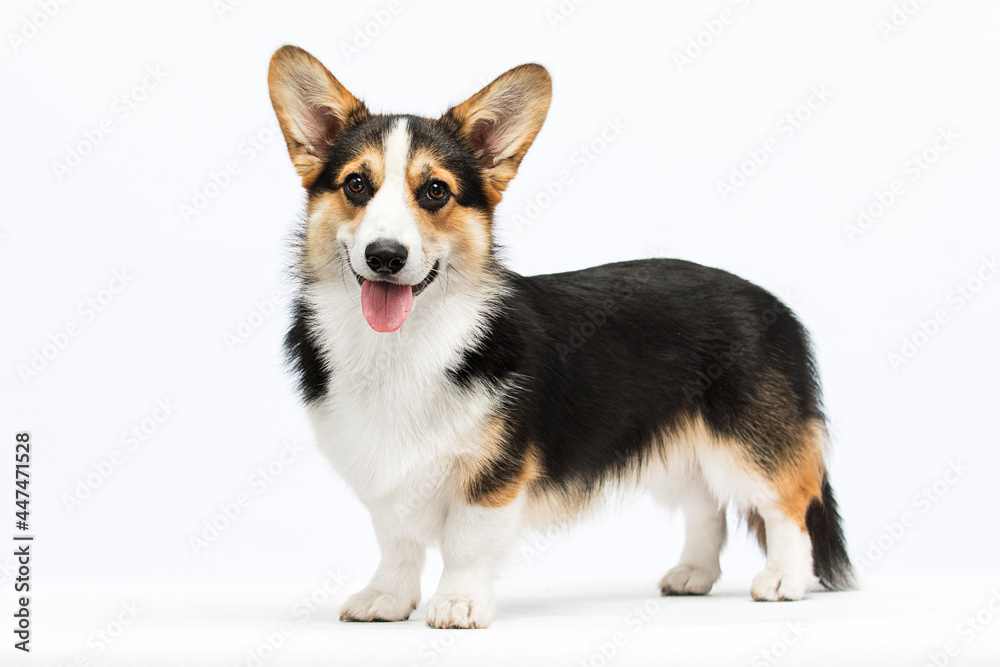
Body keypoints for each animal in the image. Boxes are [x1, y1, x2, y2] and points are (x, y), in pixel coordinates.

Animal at [264, 44, 852, 628]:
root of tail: (773, 303)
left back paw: (785, 580)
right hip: (676, 448)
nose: (385, 256)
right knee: (707, 508)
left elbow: (466, 542)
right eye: (355, 185)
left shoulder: (493, 474)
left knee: (789, 505)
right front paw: (386, 599)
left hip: (750, 444)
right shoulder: (385, 475)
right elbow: (397, 541)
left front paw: (458, 603)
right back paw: (693, 575)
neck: (400, 345)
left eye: (434, 191)